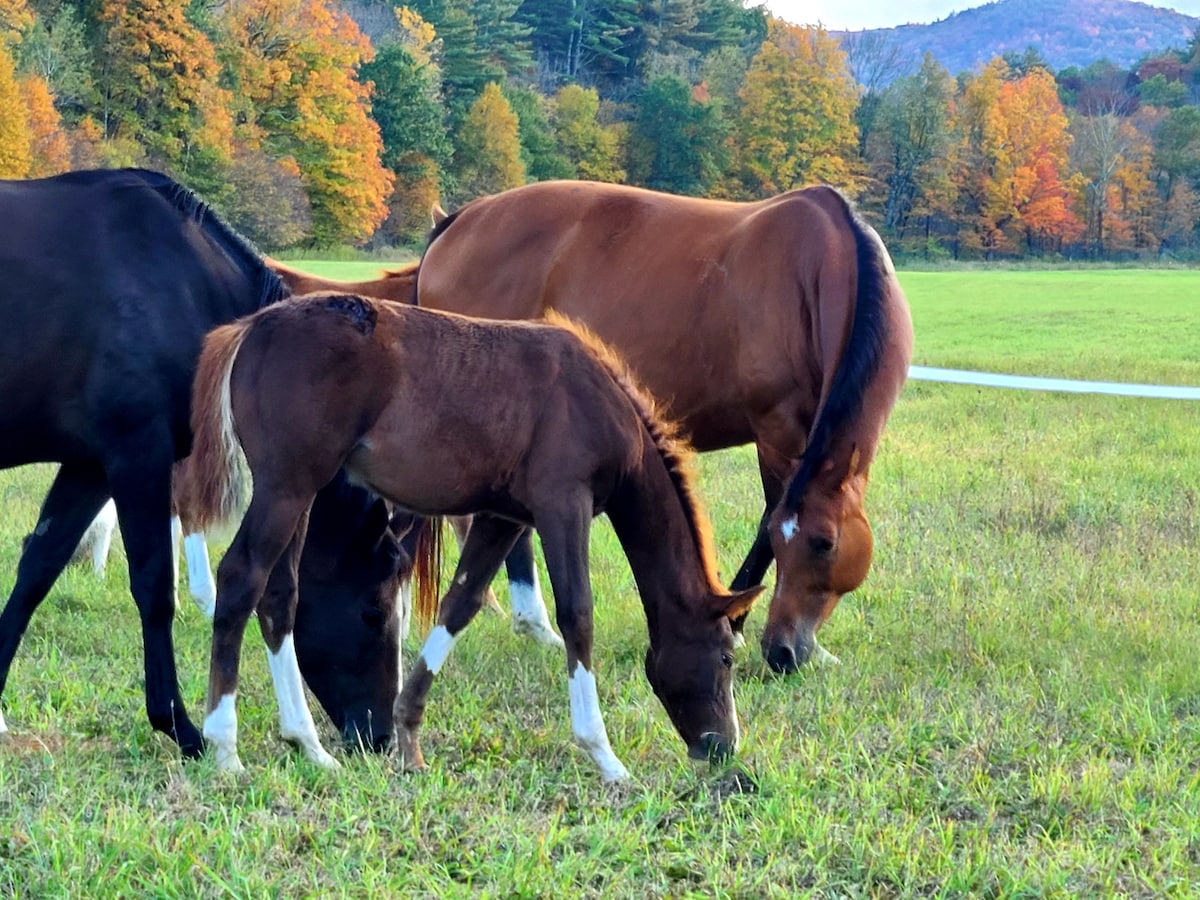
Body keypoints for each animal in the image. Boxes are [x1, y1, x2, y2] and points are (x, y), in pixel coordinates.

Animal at [0, 170, 408, 763]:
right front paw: (181, 726)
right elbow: (154, 588)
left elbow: (35, 572)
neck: (177, 280)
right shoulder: (137, 456)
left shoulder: (87, 467)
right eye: (373, 613)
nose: (378, 736)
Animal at [177, 294, 758, 782]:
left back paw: (309, 745)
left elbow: (460, 604)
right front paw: (604, 756)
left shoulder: (504, 517)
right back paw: (225, 748)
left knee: (280, 595)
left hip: (298, 493)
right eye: (726, 659)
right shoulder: (562, 505)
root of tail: (250, 329)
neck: (600, 403)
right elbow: (577, 614)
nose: (722, 746)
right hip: (287, 486)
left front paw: (408, 741)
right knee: (241, 579)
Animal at [410, 184, 907, 676]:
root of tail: (458, 220)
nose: (783, 652)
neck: (817, 265)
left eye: (824, 544)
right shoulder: (776, 431)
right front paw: (736, 626)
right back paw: (534, 623)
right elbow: (769, 522)